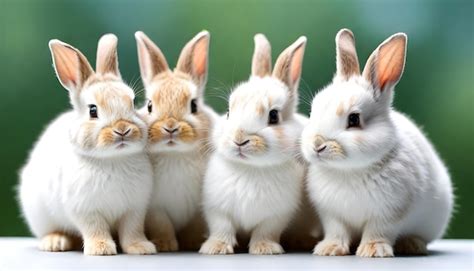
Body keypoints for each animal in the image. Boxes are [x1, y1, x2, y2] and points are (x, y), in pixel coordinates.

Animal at [18, 34, 156, 258]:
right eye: (93, 110)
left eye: (133, 103)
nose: (123, 129)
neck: (112, 159)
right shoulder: (85, 210)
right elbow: (95, 228)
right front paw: (101, 249)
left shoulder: (134, 209)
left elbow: (131, 230)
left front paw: (141, 248)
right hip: (40, 215)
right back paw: (55, 242)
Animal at [133, 30, 218, 252]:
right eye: (149, 106)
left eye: (194, 105)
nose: (170, 127)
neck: (175, 154)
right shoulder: (155, 208)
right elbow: (162, 225)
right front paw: (165, 245)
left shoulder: (198, 208)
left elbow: (195, 226)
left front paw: (194, 243)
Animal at [199, 33, 312, 255]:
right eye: (228, 111)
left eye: (274, 116)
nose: (239, 139)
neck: (250, 168)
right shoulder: (217, 209)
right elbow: (222, 227)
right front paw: (216, 248)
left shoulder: (277, 215)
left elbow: (265, 231)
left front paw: (265, 248)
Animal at [302, 28, 454, 258]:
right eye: (313, 110)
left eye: (354, 119)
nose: (317, 145)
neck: (348, 171)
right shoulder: (331, 214)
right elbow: (337, 231)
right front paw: (329, 249)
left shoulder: (389, 213)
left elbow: (378, 231)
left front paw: (373, 250)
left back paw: (412, 245)